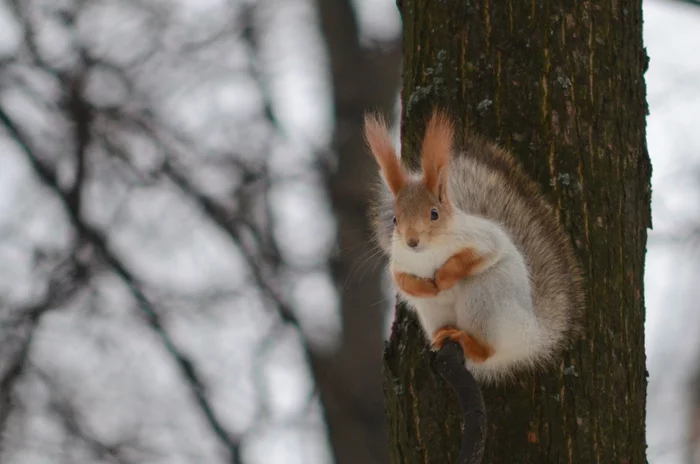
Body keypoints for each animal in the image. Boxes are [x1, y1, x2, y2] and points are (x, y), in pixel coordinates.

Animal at [366, 109, 584, 384]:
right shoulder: (400, 262)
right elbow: (401, 280)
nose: (412, 241)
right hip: (433, 312)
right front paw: (424, 287)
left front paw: (443, 278)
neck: (428, 253)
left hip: (485, 299)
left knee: (486, 350)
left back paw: (469, 341)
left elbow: (477, 256)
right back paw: (444, 334)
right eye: (395, 219)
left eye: (434, 214)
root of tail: (530, 335)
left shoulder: (483, 238)